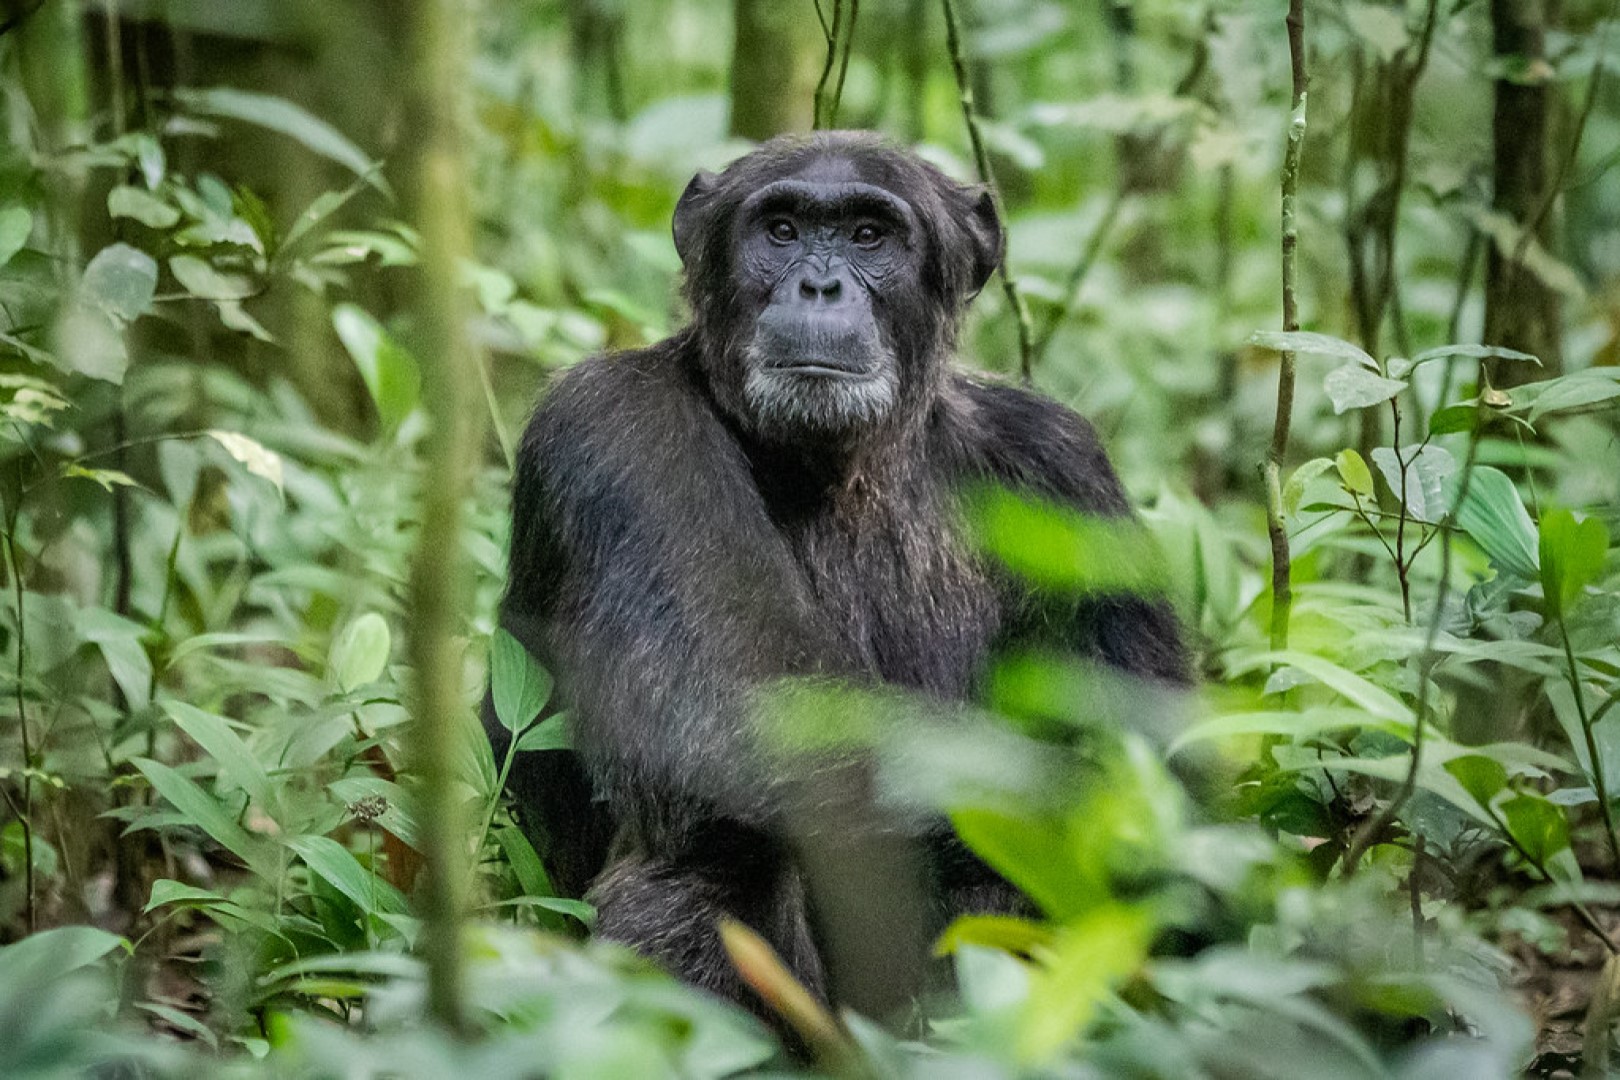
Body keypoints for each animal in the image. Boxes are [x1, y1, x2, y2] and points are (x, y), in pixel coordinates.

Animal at [482, 132, 1192, 1023]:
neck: (838, 465)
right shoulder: (613, 429)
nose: (819, 284)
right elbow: (751, 710)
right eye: (782, 229)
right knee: (706, 862)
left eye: (868, 235)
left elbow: (1157, 758)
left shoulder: (1068, 473)